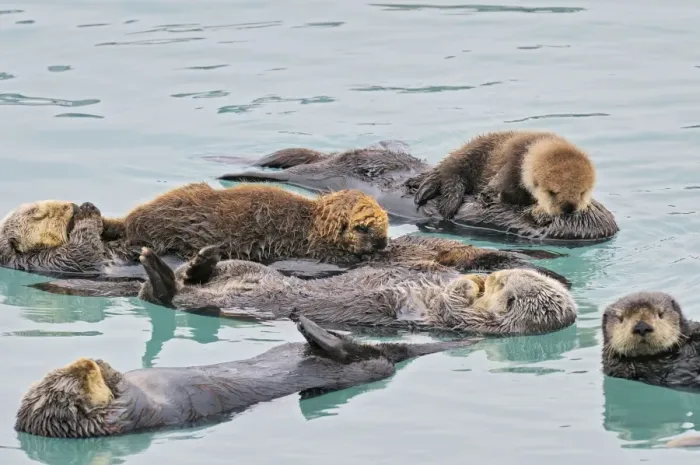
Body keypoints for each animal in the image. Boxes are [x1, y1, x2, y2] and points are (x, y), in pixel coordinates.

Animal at [15, 315, 479, 438]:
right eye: (77, 382)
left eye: (68, 371)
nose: (85, 362)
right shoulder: (127, 414)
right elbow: (126, 397)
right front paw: (110, 372)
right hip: (362, 369)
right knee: (368, 361)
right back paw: (310, 330)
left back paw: (306, 327)